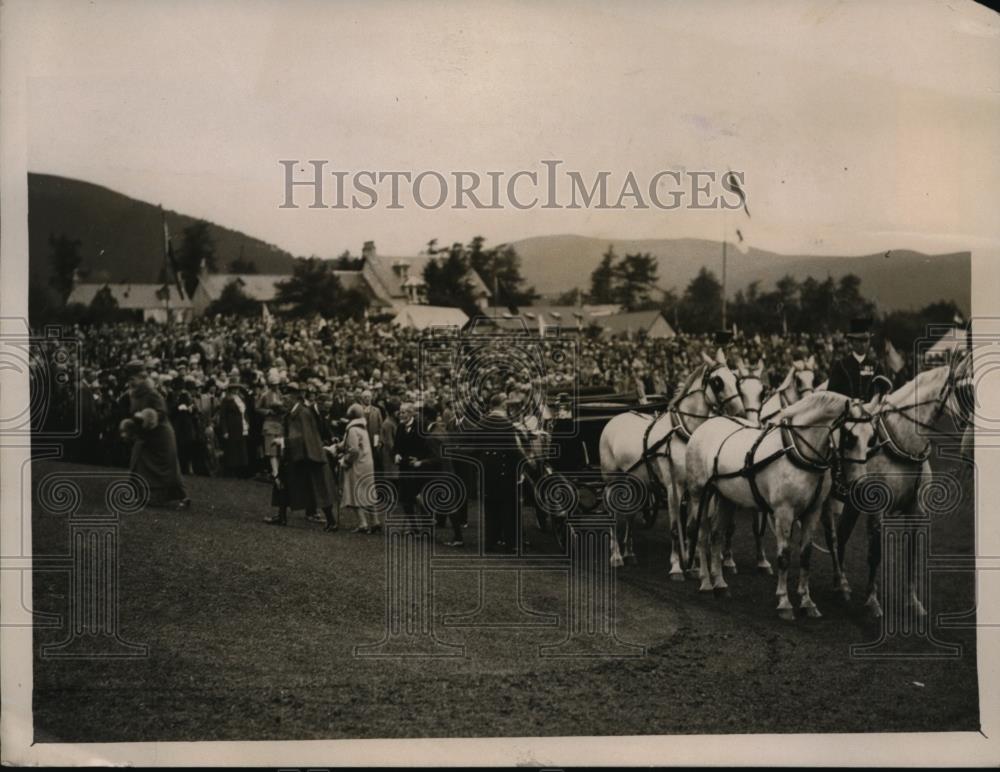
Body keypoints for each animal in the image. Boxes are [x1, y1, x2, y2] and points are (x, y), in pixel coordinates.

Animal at [596, 350, 748, 572]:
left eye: (735, 379)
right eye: (717, 382)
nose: (740, 414)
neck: (683, 433)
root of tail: (616, 417)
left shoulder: (695, 488)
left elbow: (692, 527)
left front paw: (694, 565)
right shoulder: (672, 487)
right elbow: (676, 527)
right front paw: (677, 565)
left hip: (635, 481)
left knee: (630, 514)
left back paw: (629, 553)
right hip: (611, 480)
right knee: (614, 515)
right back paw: (616, 556)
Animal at [688, 396, 876, 620]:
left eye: (871, 439)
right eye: (849, 437)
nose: (860, 485)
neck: (799, 453)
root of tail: (705, 425)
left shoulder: (812, 512)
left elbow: (806, 555)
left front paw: (807, 602)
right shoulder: (783, 512)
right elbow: (784, 556)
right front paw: (784, 602)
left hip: (727, 498)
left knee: (716, 535)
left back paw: (720, 584)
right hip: (700, 494)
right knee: (702, 535)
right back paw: (706, 582)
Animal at [828, 352, 968, 620]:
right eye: (966, 389)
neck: (902, 442)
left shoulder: (916, 512)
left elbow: (912, 555)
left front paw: (913, 602)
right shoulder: (876, 510)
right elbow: (875, 553)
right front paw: (872, 601)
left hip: (850, 503)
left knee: (840, 535)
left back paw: (841, 584)